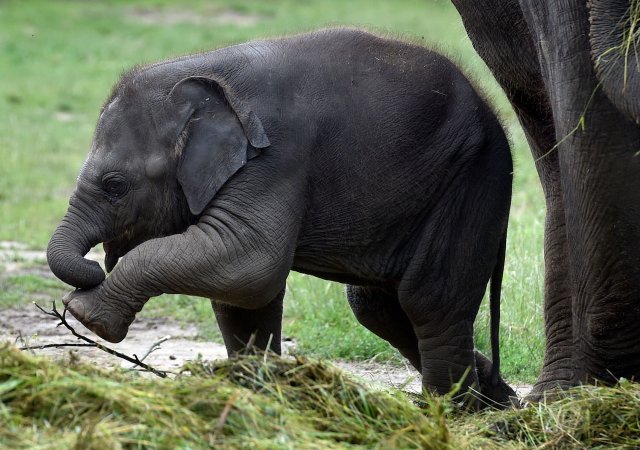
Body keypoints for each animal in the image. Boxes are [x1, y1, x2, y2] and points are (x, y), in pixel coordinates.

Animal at [46, 28, 516, 408]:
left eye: (115, 186)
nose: (92, 269)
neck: (201, 72)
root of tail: (495, 116)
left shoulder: (276, 156)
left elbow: (251, 265)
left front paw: (85, 314)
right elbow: (244, 294)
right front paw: (255, 392)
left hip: (471, 178)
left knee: (429, 301)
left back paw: (450, 414)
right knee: (377, 305)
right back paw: (496, 398)